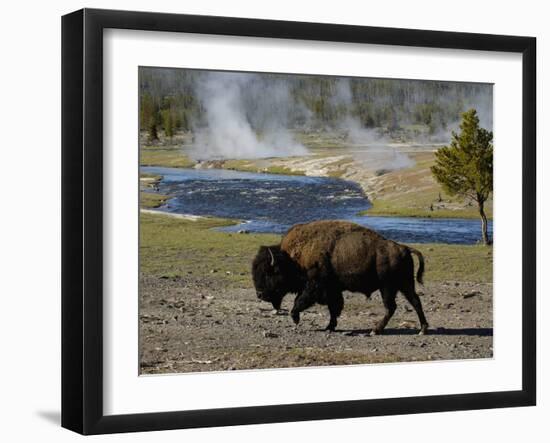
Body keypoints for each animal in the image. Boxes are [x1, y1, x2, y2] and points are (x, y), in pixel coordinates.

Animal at [253, 222, 432, 336]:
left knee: (392, 307)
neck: (291, 259)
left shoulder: (314, 287)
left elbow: (301, 301)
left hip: (388, 287)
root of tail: (404, 248)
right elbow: (334, 308)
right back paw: (422, 329)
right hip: (404, 285)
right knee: (415, 302)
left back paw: (376, 330)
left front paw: (295, 318)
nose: (259, 294)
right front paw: (329, 327)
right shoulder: (332, 290)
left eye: (269, 273)